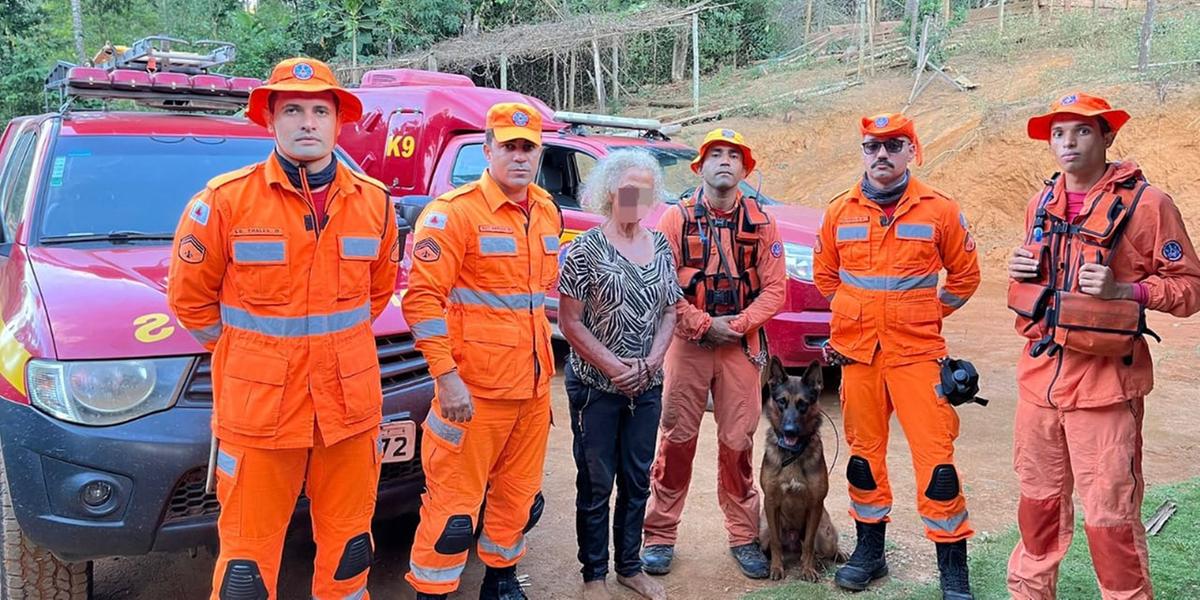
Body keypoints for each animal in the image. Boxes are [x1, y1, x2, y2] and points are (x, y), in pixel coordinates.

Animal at [758, 355, 844, 580]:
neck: (793, 454)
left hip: (825, 532)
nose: (789, 430)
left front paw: (808, 569)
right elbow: (776, 543)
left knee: (821, 547)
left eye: (803, 405)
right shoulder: (771, 503)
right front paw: (776, 568)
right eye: (782, 402)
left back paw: (838, 554)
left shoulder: (815, 505)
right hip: (763, 532)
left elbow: (809, 545)